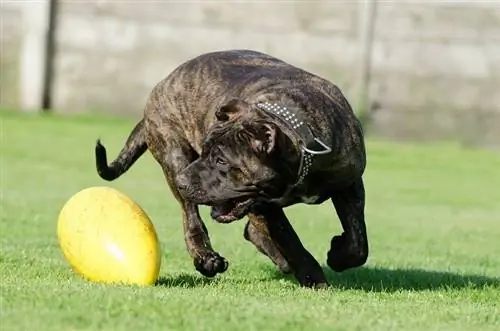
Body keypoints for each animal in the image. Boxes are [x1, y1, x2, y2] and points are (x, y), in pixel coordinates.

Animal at [94, 49, 368, 290]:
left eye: (221, 161)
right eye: (206, 150)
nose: (183, 181)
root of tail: (163, 83)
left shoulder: (350, 183)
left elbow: (359, 242)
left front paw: (338, 255)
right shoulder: (261, 206)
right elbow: (290, 241)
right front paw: (314, 277)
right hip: (173, 151)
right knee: (191, 218)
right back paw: (206, 257)